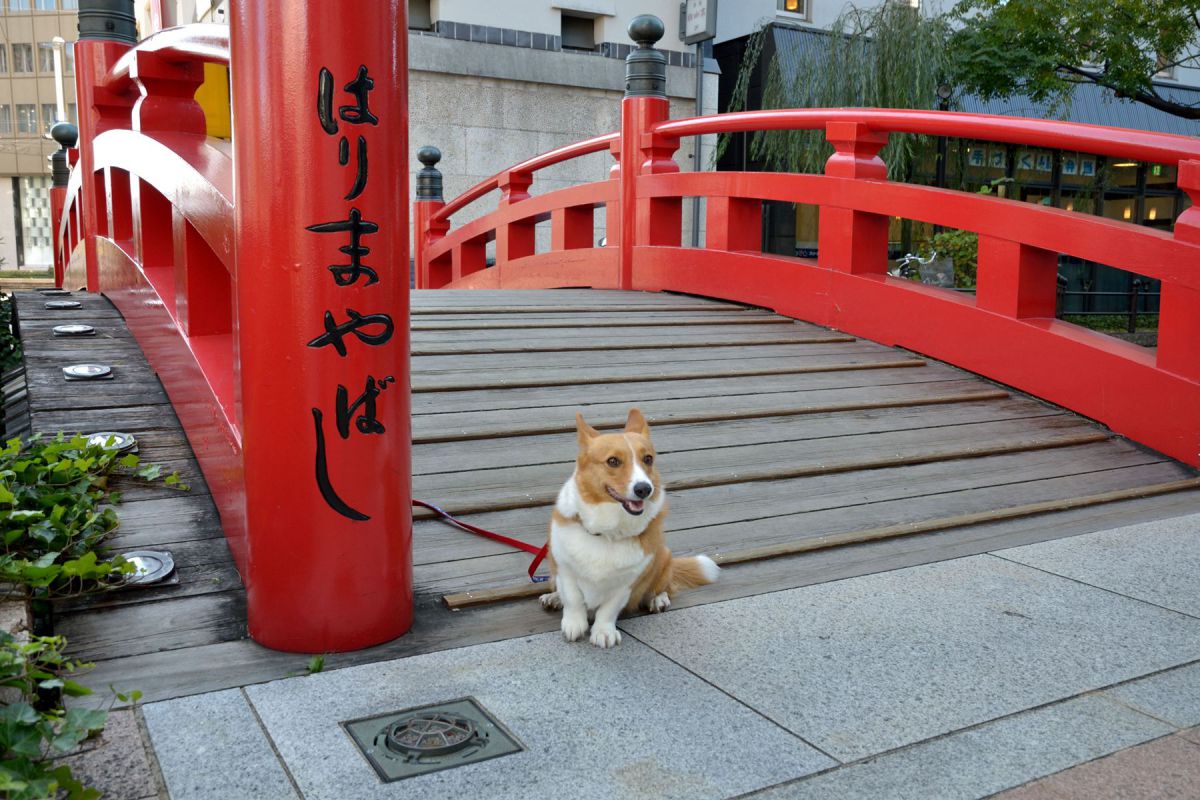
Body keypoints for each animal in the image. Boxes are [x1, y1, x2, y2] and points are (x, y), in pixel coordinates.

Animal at [540, 410, 715, 647]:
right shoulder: (564, 569)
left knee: (665, 586)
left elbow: (608, 610)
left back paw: (658, 599)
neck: (607, 532)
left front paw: (603, 632)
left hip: (664, 556)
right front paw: (574, 624)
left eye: (648, 459)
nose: (644, 489)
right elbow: (573, 598)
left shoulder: (626, 583)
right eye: (613, 461)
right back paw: (554, 597)